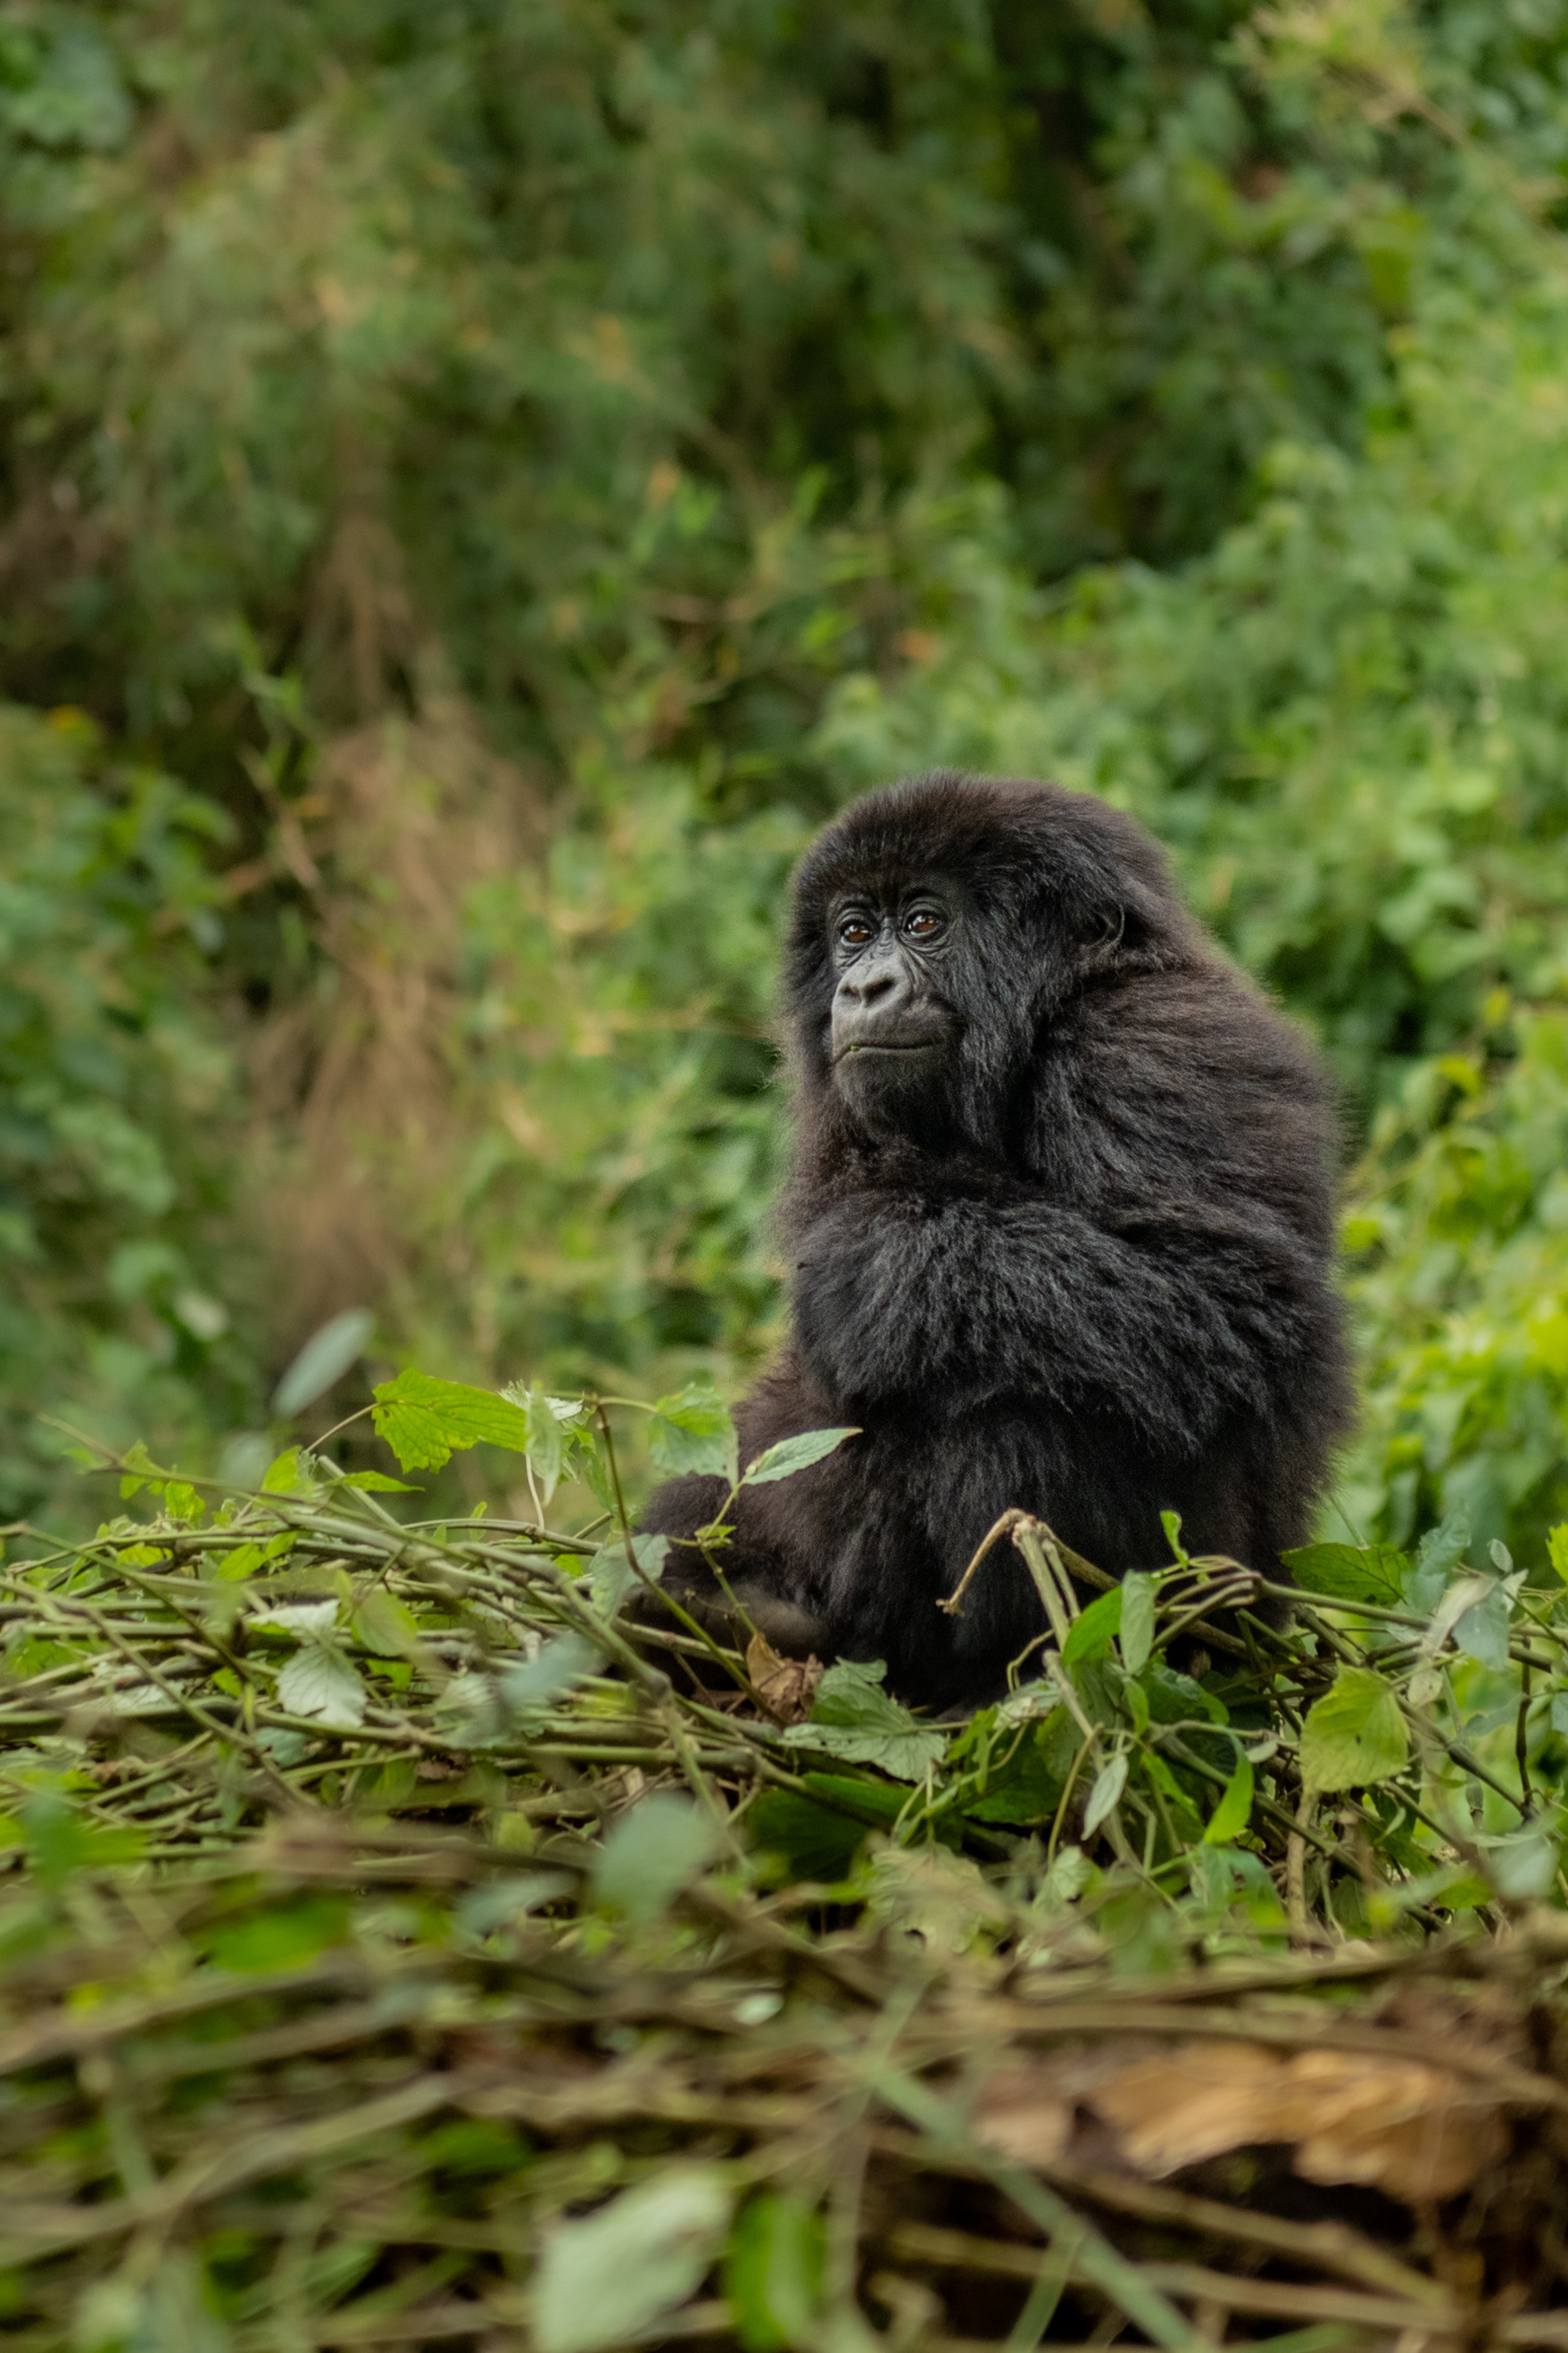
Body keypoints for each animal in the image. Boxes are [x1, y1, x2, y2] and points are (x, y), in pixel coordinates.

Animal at [639, 771, 1354, 1713]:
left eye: (923, 923)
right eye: (853, 932)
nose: (861, 990)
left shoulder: (1144, 1045)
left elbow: (1229, 1308)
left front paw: (869, 1262)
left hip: (1209, 1613)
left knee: (1013, 1403)